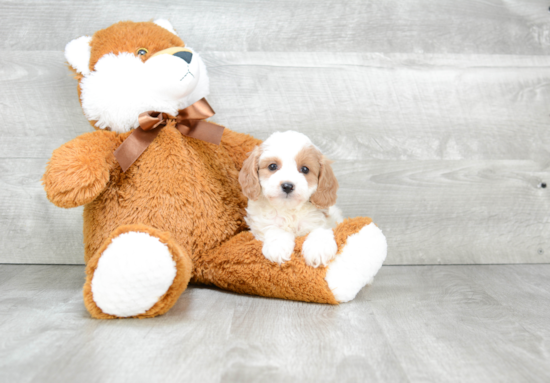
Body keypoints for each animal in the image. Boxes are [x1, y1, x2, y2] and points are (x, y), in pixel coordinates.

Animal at [239, 130, 342, 268]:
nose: (287, 186)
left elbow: (320, 230)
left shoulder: (322, 220)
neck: (288, 210)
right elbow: (273, 229)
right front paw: (278, 247)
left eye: (305, 169)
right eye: (272, 166)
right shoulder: (260, 224)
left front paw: (319, 249)